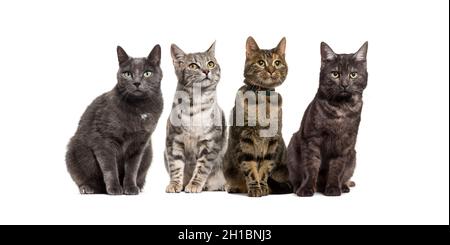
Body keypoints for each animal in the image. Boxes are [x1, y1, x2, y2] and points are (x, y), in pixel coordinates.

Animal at [65, 45, 163, 195]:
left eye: (147, 73)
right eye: (127, 74)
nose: (137, 82)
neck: (139, 108)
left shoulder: (139, 144)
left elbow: (132, 169)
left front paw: (130, 188)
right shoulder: (104, 141)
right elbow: (110, 167)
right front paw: (115, 189)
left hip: (149, 153)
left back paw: (139, 187)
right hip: (74, 150)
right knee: (83, 177)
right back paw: (88, 188)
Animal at [164, 42, 227, 193]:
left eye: (211, 64)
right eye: (193, 65)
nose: (206, 71)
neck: (194, 106)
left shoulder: (210, 143)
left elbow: (202, 168)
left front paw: (194, 184)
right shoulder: (173, 140)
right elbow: (175, 166)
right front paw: (175, 184)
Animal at [222, 36, 292, 197]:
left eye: (277, 63)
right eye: (261, 63)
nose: (271, 70)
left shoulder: (273, 140)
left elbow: (265, 167)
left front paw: (263, 187)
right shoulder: (245, 138)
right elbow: (250, 167)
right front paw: (254, 187)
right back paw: (234, 187)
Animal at [288, 41, 370, 196]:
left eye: (353, 74)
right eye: (335, 74)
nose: (344, 84)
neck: (340, 109)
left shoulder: (345, 143)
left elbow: (337, 169)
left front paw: (333, 188)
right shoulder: (312, 139)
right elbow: (311, 166)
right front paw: (307, 188)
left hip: (353, 155)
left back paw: (344, 186)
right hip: (293, 145)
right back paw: (298, 187)